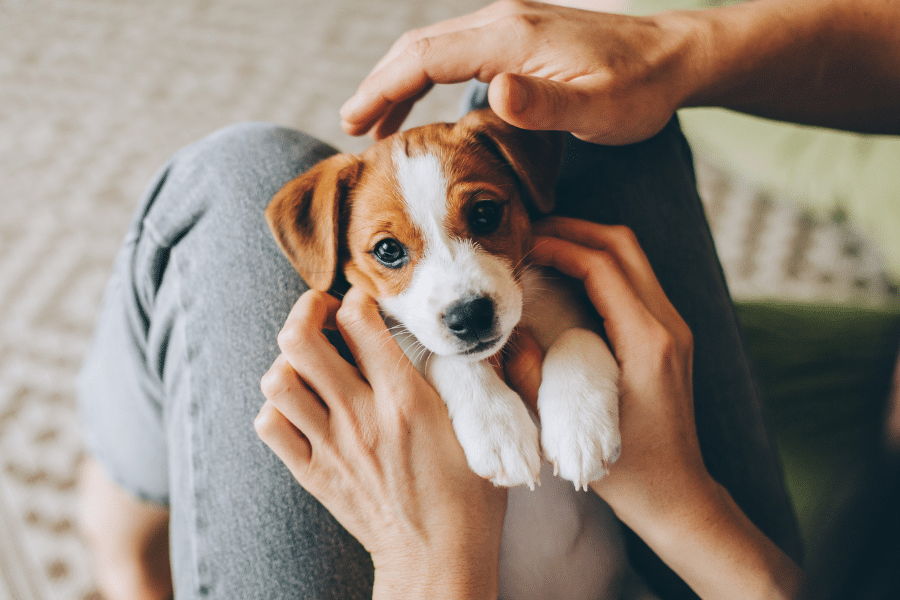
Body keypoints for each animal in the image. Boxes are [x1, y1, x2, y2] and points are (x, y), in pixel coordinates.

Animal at [268, 110, 648, 596]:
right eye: (388, 250)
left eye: (485, 213)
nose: (470, 315)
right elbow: (444, 358)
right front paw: (497, 428)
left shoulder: (582, 313)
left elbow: (577, 336)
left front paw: (580, 428)